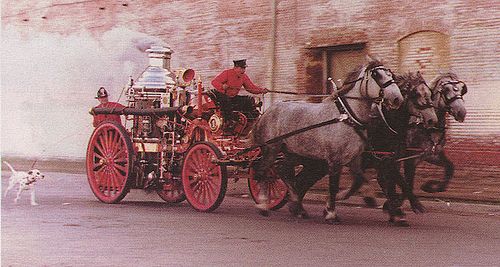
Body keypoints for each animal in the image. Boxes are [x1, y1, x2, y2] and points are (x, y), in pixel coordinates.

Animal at [252, 59, 408, 224]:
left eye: (391, 74)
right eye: (377, 75)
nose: (397, 98)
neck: (347, 118)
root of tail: (268, 111)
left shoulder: (354, 158)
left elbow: (359, 180)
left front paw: (367, 198)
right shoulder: (335, 160)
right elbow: (333, 186)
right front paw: (331, 213)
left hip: (292, 152)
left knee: (284, 171)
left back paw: (298, 207)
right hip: (271, 148)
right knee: (263, 172)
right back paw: (263, 206)